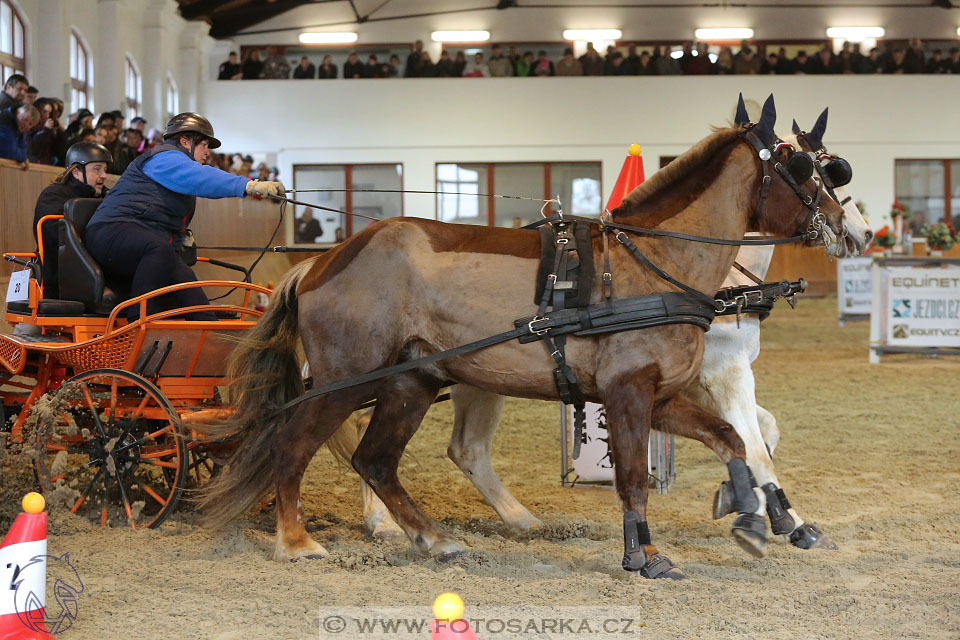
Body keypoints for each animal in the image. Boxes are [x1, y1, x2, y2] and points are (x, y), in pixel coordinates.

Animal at [199, 96, 844, 580]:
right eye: (804, 168)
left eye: (830, 167)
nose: (842, 228)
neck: (655, 265)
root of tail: (321, 261)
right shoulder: (628, 391)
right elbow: (635, 478)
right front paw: (646, 557)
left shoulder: (661, 395)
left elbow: (733, 440)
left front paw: (753, 519)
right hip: (344, 380)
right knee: (292, 447)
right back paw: (296, 541)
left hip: (411, 382)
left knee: (375, 460)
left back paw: (435, 539)